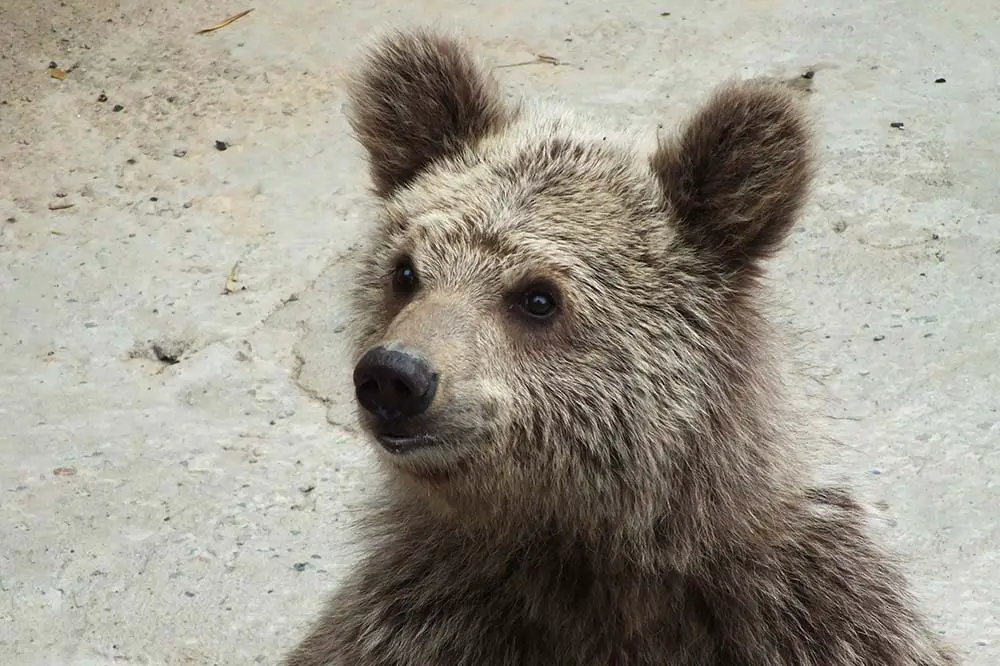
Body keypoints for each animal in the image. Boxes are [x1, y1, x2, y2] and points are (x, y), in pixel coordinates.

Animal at [280, 26, 952, 664]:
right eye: (405, 271)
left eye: (539, 297)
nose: (394, 375)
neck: (591, 551)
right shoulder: (421, 614)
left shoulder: (809, 610)